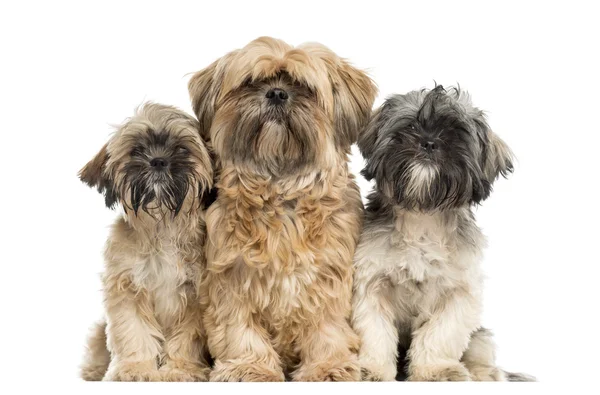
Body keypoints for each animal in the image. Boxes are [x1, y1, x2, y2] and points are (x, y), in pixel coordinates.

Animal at [79, 103, 216, 382]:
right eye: (136, 151)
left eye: (182, 149)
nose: (158, 161)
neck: (162, 228)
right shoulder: (127, 288)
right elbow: (134, 332)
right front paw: (135, 369)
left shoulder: (195, 297)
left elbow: (187, 338)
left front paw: (180, 369)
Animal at [188, 36, 376, 380]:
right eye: (252, 82)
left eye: (302, 86)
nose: (276, 93)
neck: (280, 192)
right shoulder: (230, 278)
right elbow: (239, 328)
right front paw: (249, 366)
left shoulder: (328, 276)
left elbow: (326, 325)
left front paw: (328, 366)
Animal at [352, 85, 528, 382]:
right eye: (411, 126)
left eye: (455, 133)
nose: (429, 142)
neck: (423, 218)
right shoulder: (371, 284)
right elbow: (375, 332)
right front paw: (371, 369)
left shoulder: (459, 293)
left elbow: (439, 334)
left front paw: (436, 370)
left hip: (480, 336)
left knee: (480, 349)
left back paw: (485, 373)